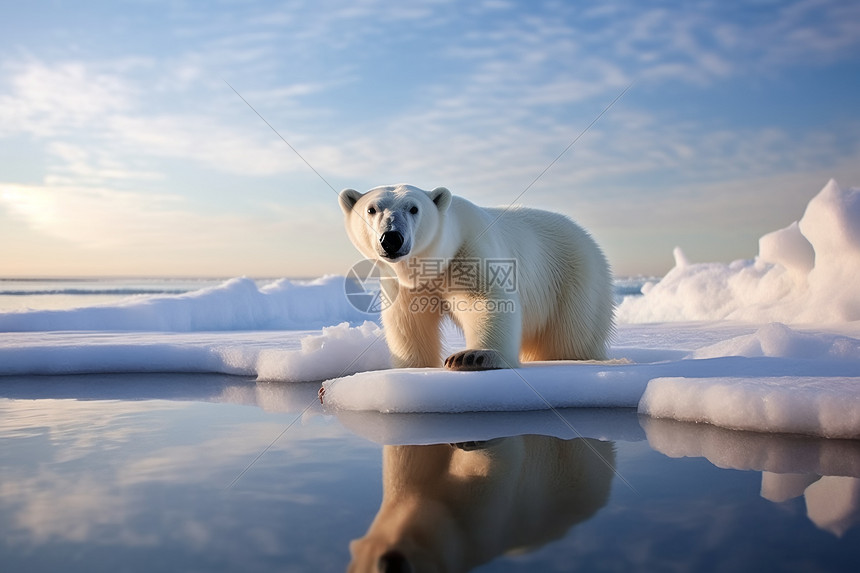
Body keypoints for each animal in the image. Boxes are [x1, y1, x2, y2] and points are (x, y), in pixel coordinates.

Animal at [340, 185, 616, 368]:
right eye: (372, 209)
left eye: (414, 208)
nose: (391, 238)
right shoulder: (403, 284)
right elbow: (408, 321)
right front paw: (413, 365)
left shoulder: (469, 251)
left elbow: (486, 299)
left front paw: (472, 356)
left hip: (574, 278)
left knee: (571, 336)